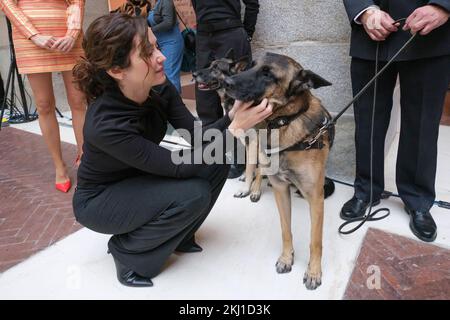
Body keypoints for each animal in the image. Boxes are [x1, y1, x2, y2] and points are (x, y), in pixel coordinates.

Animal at [225, 52, 334, 290]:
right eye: (250, 66)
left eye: (268, 74)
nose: (227, 82)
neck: (283, 123)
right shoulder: (280, 189)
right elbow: (285, 230)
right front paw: (286, 258)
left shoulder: (316, 198)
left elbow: (315, 240)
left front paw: (313, 272)